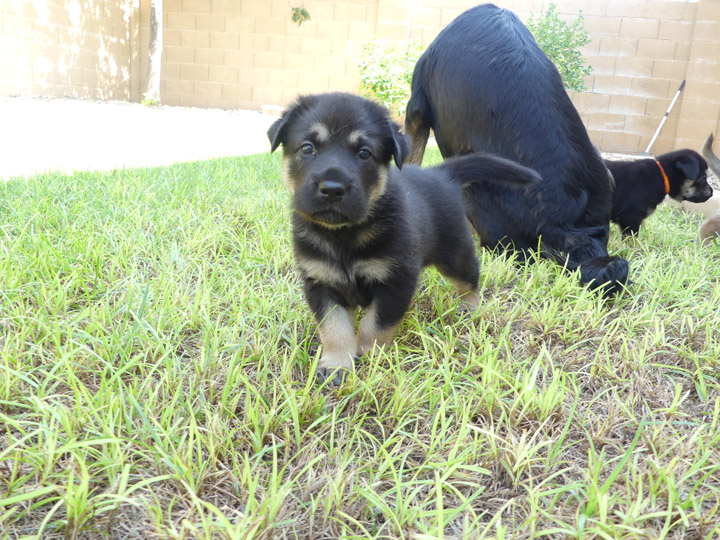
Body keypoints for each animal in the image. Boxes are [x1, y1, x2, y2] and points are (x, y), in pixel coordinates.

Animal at [268, 90, 536, 382]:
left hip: (454, 253)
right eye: (307, 148)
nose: (332, 189)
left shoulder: (396, 281)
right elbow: (334, 328)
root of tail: (442, 174)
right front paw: (337, 365)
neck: (345, 235)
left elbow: (376, 324)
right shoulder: (321, 282)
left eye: (364, 153)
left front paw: (371, 356)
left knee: (469, 278)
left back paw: (469, 306)